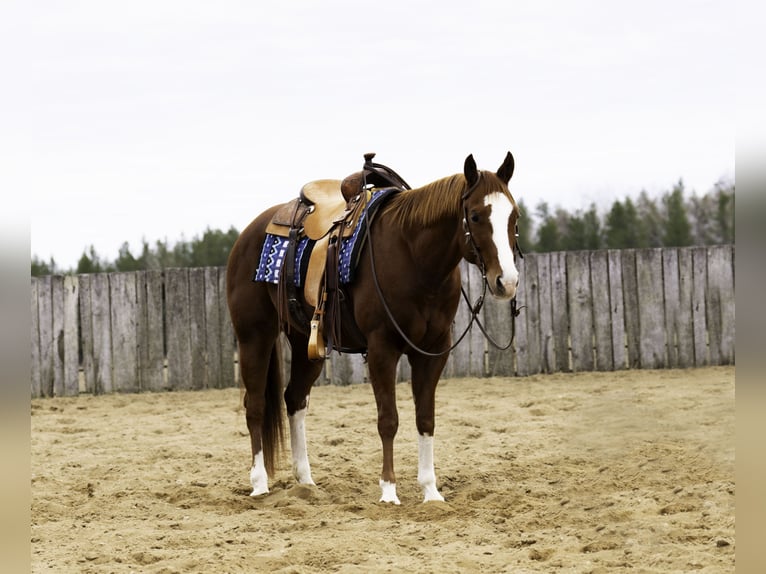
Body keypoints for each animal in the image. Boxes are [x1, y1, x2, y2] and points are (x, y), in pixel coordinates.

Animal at [225, 152, 520, 504]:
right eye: (475, 216)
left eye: (514, 216)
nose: (507, 281)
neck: (413, 256)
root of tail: (250, 232)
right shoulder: (382, 348)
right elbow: (388, 420)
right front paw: (389, 491)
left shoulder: (433, 351)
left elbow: (426, 418)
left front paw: (431, 491)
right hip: (254, 334)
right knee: (255, 404)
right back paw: (259, 483)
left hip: (305, 342)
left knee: (294, 400)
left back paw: (306, 482)